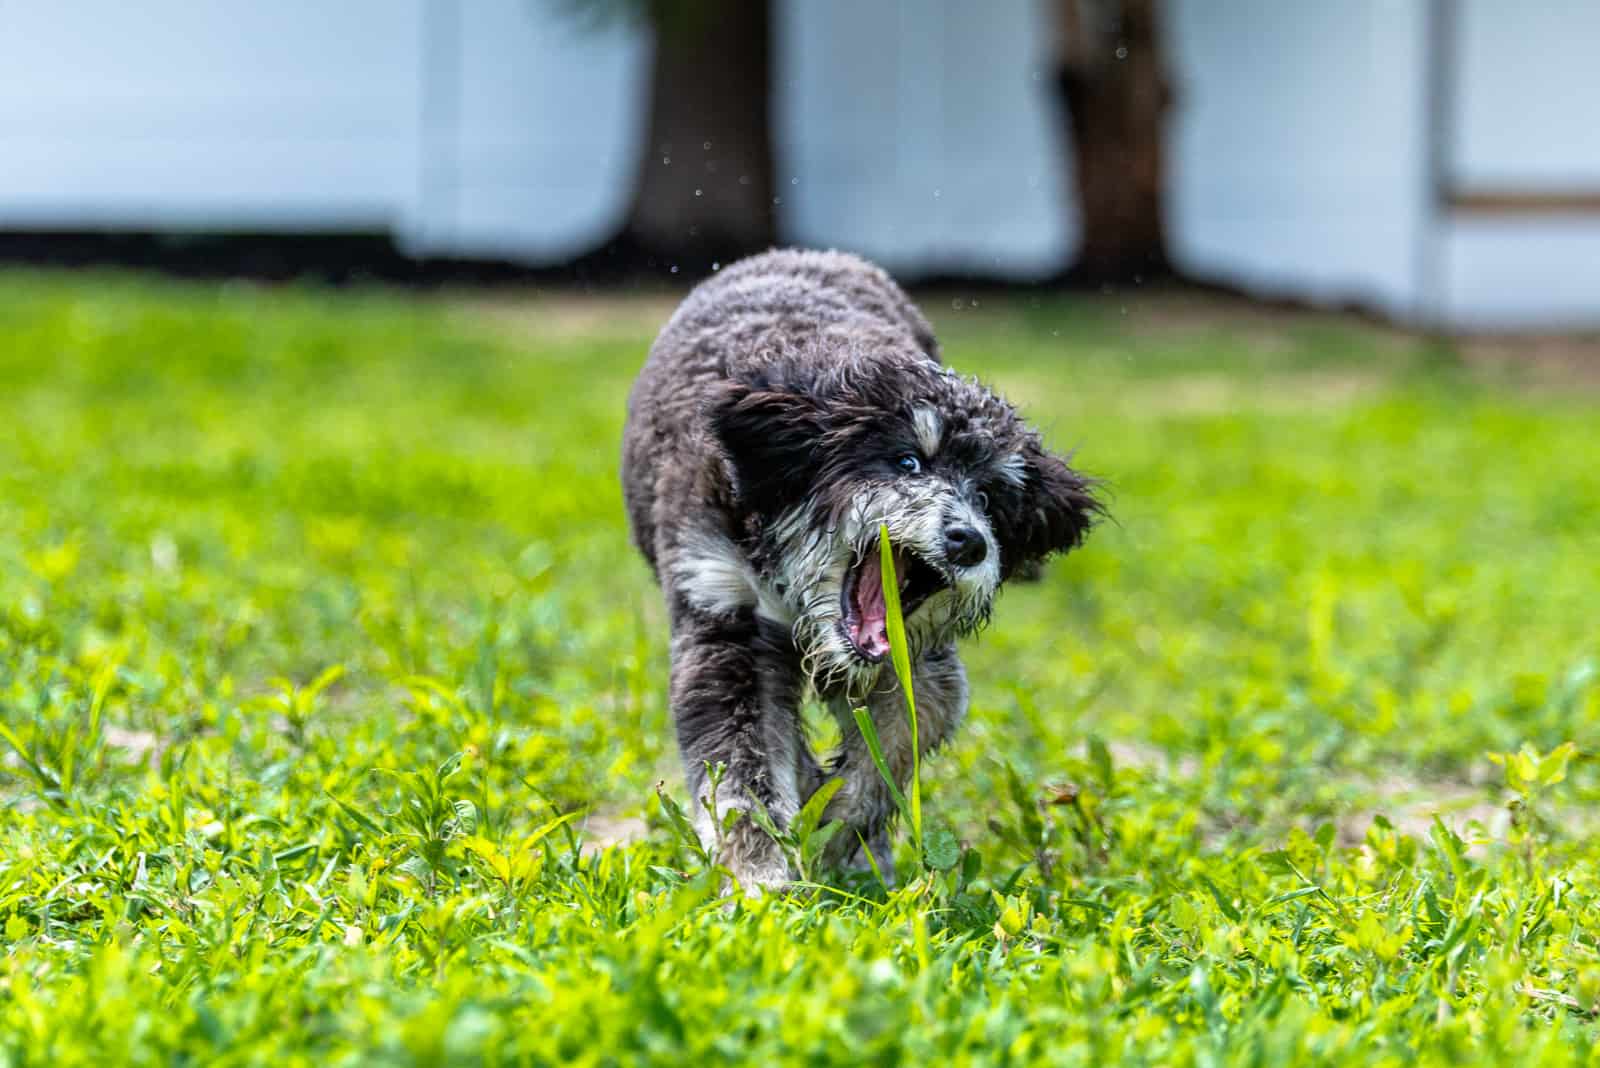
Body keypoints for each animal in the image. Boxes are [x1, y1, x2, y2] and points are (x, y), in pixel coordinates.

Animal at [620, 246, 1100, 888]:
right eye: (907, 461)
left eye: (990, 498)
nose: (968, 543)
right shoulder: (724, 620)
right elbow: (741, 775)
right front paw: (761, 877)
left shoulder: (916, 662)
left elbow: (893, 748)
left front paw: (833, 833)